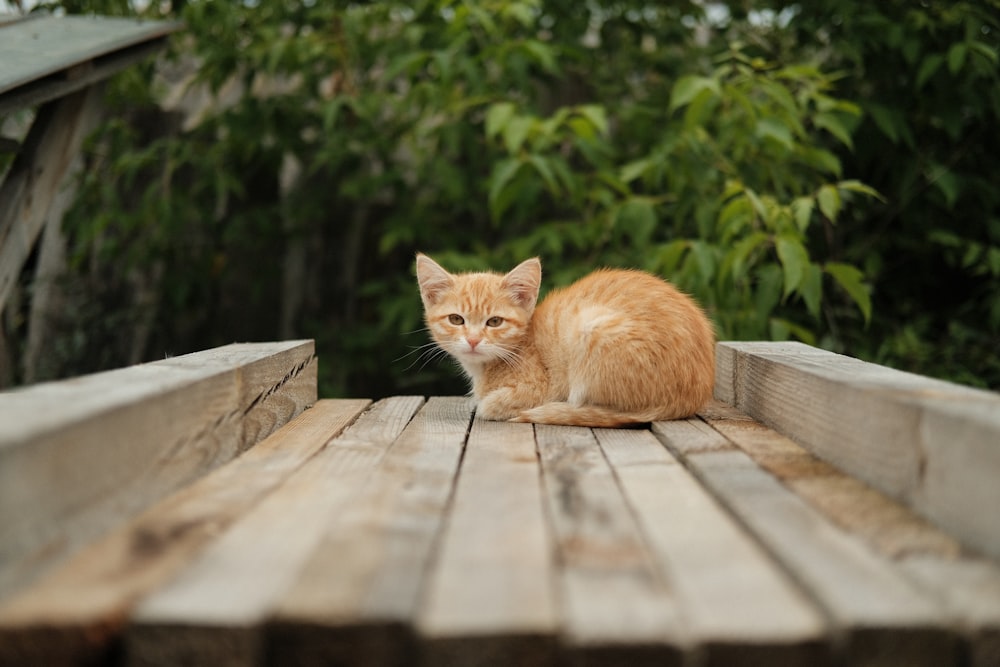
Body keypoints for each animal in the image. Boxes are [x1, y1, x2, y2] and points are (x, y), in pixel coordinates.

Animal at [418, 253, 716, 426]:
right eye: (456, 319)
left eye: (494, 322)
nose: (473, 340)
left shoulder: (539, 387)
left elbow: (488, 405)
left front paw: (486, 404)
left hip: (590, 328)